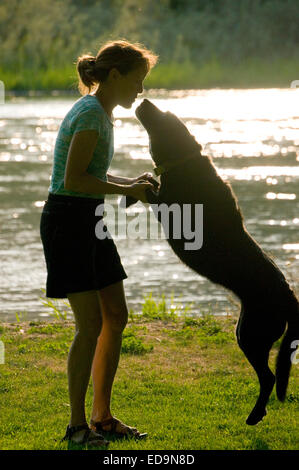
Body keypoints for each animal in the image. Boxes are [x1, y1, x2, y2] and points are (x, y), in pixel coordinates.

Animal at [127, 99, 298, 426]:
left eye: (165, 117)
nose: (144, 100)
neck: (183, 163)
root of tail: (290, 299)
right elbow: (147, 178)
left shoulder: (169, 205)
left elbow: (150, 188)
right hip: (248, 331)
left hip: (251, 334)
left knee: (268, 377)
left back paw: (255, 415)